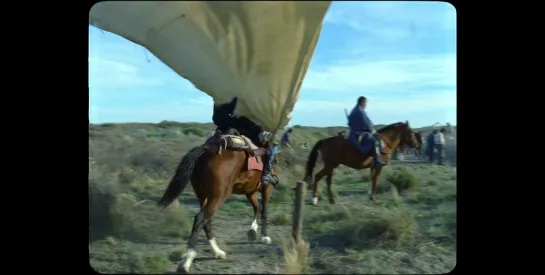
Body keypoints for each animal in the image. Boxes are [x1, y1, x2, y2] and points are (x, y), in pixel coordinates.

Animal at [156, 133, 276, 274]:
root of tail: (206, 149)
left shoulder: (249, 191)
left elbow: (257, 208)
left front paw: (252, 231)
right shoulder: (267, 188)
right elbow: (264, 211)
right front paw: (264, 237)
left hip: (204, 196)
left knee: (206, 221)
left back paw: (218, 252)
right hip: (219, 196)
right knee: (200, 218)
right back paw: (186, 261)